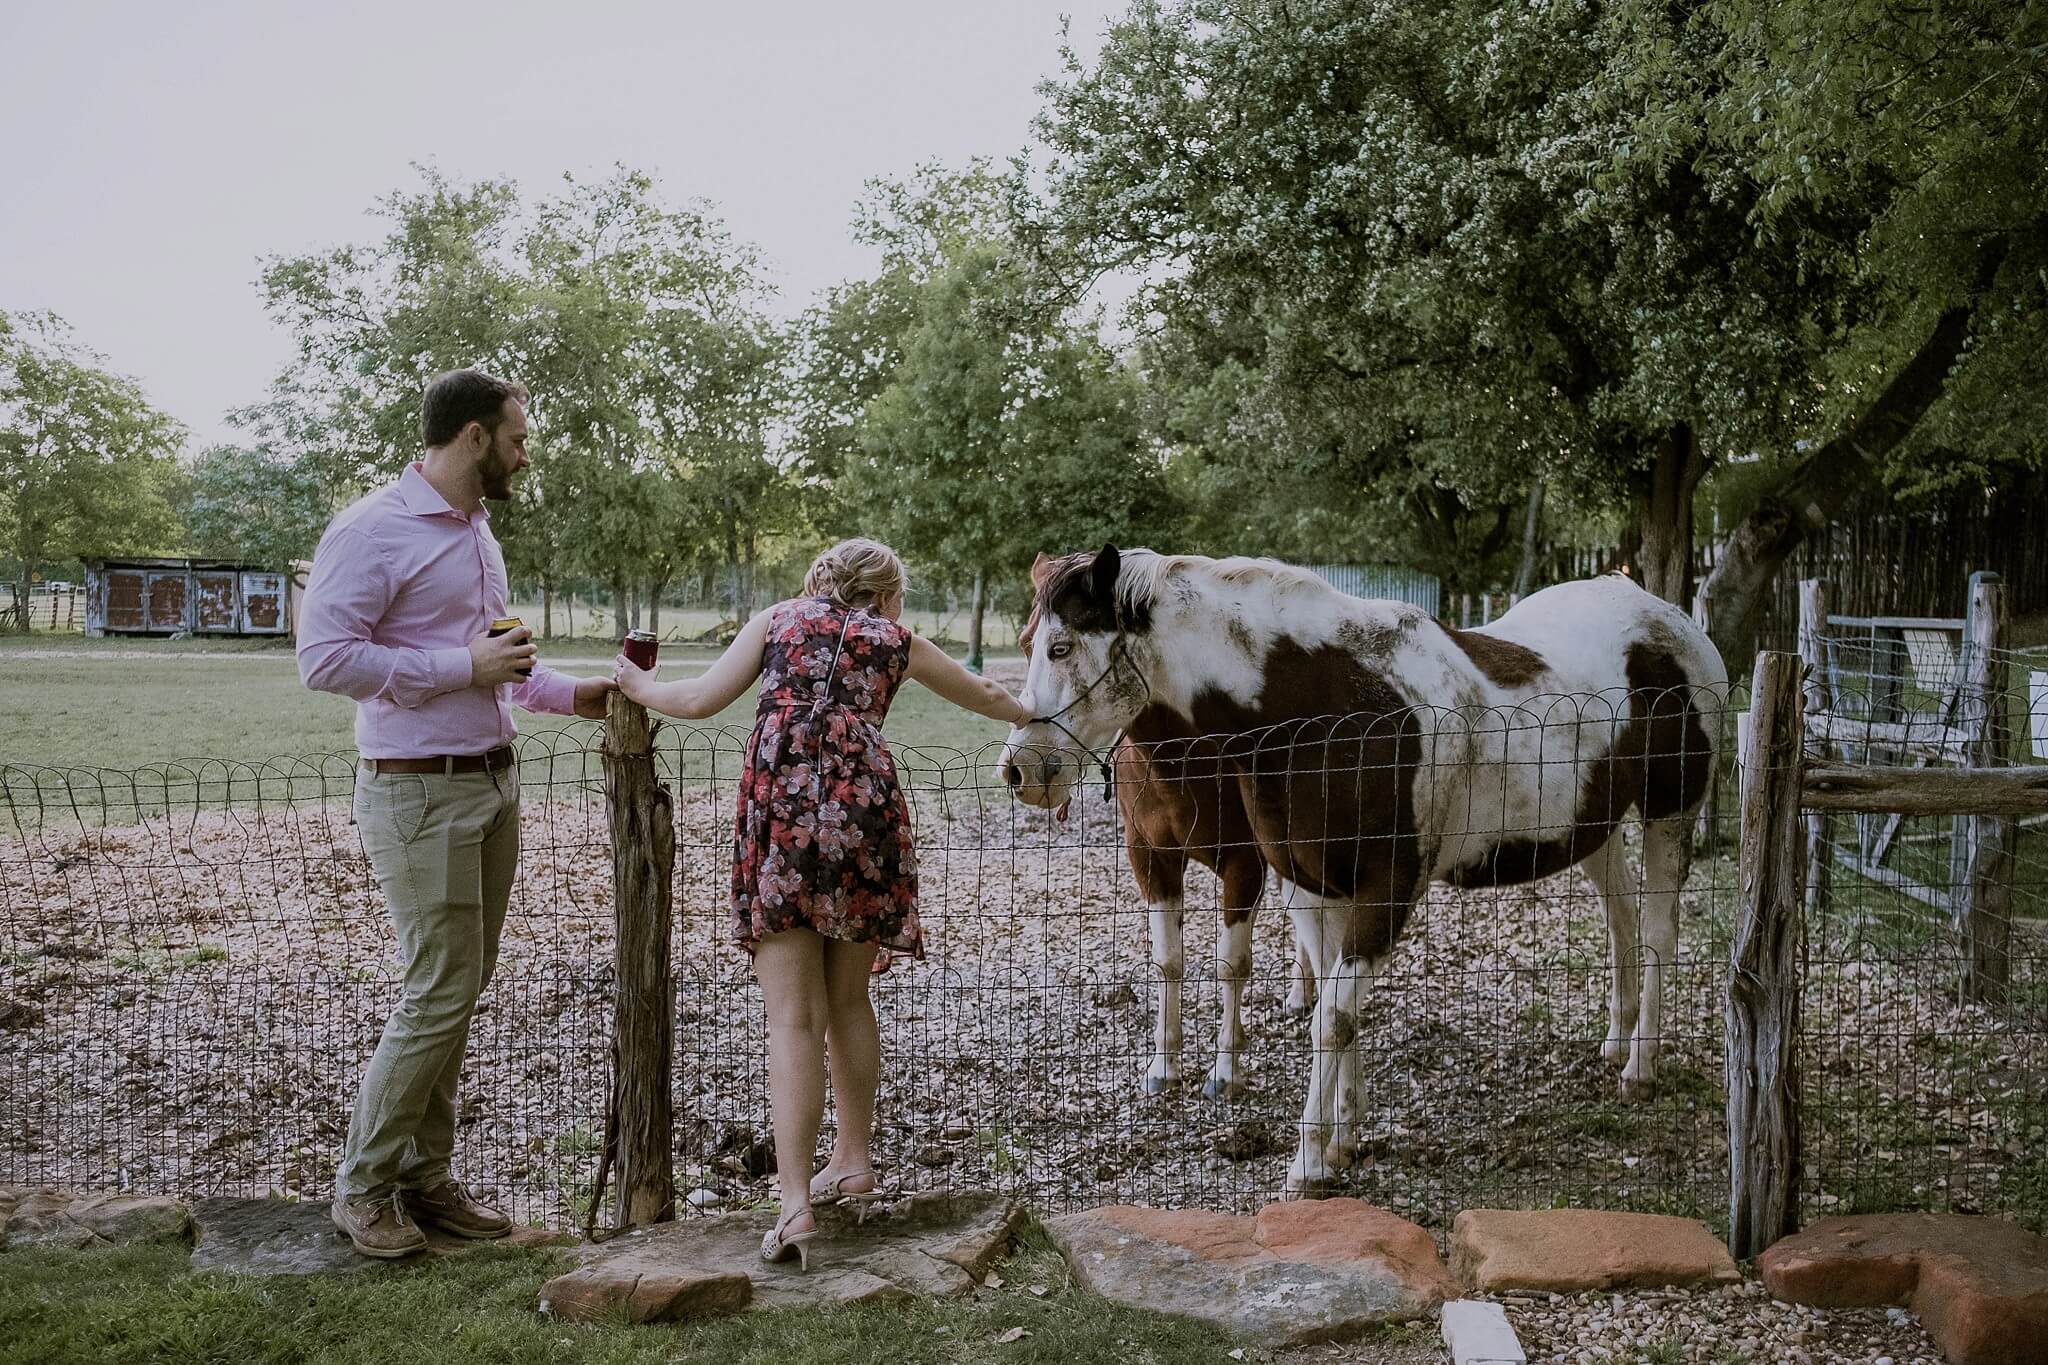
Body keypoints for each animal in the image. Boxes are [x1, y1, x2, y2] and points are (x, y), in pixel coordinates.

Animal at [1003, 548, 1728, 1186]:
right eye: (1026, 640)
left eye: (1062, 648)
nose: (1020, 770)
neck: (1325, 713)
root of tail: (1673, 619)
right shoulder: (1308, 886)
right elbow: (1333, 1006)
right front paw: (1344, 1139)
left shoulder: (1384, 892)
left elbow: (1333, 1019)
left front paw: (1307, 1165)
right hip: (1595, 828)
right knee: (1621, 921)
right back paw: (1616, 1041)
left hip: (1670, 813)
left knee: (1657, 934)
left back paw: (1640, 1067)